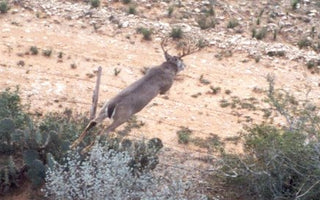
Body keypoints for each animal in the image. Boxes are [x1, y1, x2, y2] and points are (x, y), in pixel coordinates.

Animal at [71, 38, 199, 153]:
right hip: (121, 118)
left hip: (103, 109)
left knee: (92, 122)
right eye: (181, 60)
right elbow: (166, 90)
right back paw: (85, 149)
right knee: (102, 132)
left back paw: (74, 144)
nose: (185, 66)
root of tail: (112, 105)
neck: (166, 68)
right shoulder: (167, 86)